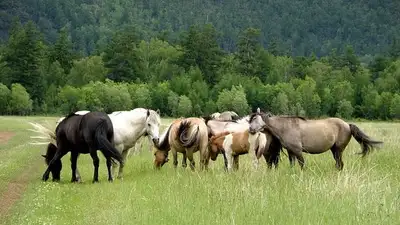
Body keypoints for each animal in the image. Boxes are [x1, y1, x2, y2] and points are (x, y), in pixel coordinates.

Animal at [30, 107, 161, 179]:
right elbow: (114, 163)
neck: (127, 124)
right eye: (149, 124)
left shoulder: (125, 149)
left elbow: (122, 162)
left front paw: (119, 177)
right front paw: (112, 177)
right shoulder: (117, 148)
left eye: (159, 124)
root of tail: (63, 121)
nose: (156, 139)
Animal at [248, 108, 382, 170]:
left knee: (340, 164)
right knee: (338, 164)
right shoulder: (291, 151)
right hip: (334, 150)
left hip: (338, 150)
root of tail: (347, 125)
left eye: (255, 119)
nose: (250, 130)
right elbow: (292, 164)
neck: (286, 127)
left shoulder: (297, 151)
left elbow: (302, 164)